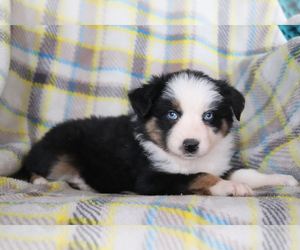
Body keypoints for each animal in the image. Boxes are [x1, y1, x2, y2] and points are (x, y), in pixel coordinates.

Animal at [22, 69, 298, 196]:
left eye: (208, 116)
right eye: (172, 115)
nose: (190, 145)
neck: (185, 160)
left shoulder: (218, 162)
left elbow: (243, 172)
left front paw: (279, 179)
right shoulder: (149, 178)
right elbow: (197, 176)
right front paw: (228, 186)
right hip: (58, 150)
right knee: (30, 169)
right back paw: (41, 181)